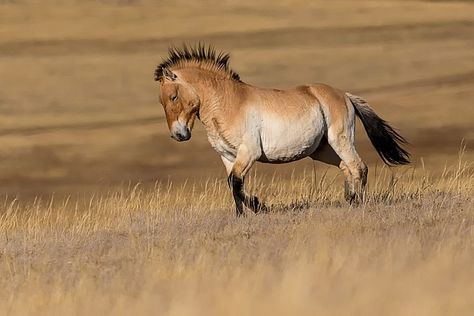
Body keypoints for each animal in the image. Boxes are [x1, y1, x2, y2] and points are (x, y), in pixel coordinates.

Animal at [154, 44, 410, 216]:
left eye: (173, 96)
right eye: (161, 101)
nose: (178, 135)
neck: (229, 103)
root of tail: (344, 95)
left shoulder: (249, 153)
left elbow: (236, 181)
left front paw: (257, 207)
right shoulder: (227, 156)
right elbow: (233, 183)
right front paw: (244, 212)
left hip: (341, 139)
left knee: (358, 167)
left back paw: (359, 203)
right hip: (322, 150)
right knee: (346, 167)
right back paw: (350, 199)